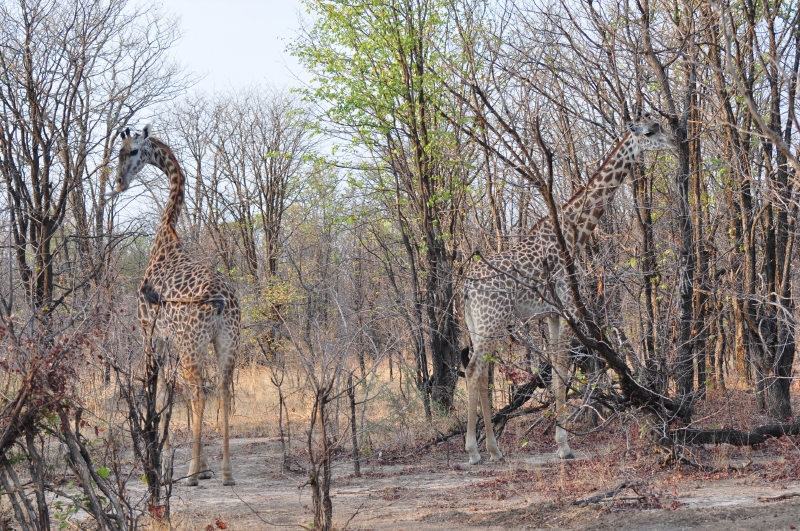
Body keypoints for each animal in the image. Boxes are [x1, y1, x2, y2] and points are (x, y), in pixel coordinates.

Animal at [113, 124, 239, 486]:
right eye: (118, 152)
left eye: (133, 151)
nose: (119, 182)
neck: (165, 234)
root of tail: (220, 299)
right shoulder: (171, 339)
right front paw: (204, 464)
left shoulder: (149, 333)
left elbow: (154, 388)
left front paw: (159, 458)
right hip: (225, 340)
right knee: (222, 389)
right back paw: (225, 471)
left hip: (190, 343)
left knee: (199, 392)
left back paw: (193, 472)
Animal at [463, 118, 675, 465]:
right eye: (650, 132)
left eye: (658, 126)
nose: (673, 141)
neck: (577, 229)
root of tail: (466, 287)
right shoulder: (568, 308)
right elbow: (562, 370)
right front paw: (564, 445)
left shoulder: (551, 313)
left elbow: (556, 370)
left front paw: (561, 440)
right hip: (491, 320)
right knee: (473, 371)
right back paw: (475, 451)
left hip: (477, 325)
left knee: (480, 373)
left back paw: (493, 449)